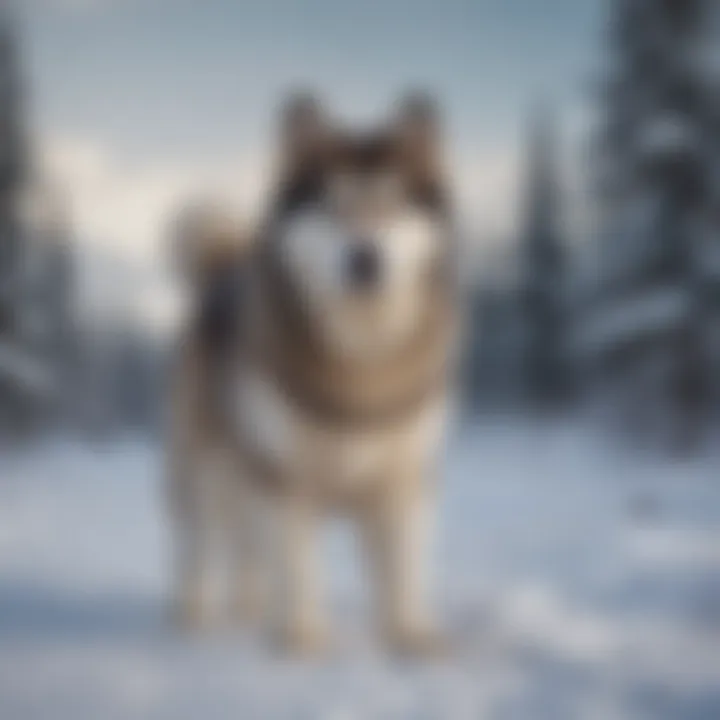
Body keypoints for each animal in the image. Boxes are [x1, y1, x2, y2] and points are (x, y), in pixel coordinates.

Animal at [167, 93, 458, 656]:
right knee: (203, 544)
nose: (366, 259)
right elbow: (297, 566)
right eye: (331, 204)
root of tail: (221, 266)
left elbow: (403, 569)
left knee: (247, 551)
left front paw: (409, 635)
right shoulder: (283, 477)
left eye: (392, 205)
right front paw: (302, 638)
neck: (360, 364)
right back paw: (195, 615)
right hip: (206, 470)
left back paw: (250, 608)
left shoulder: (403, 477)